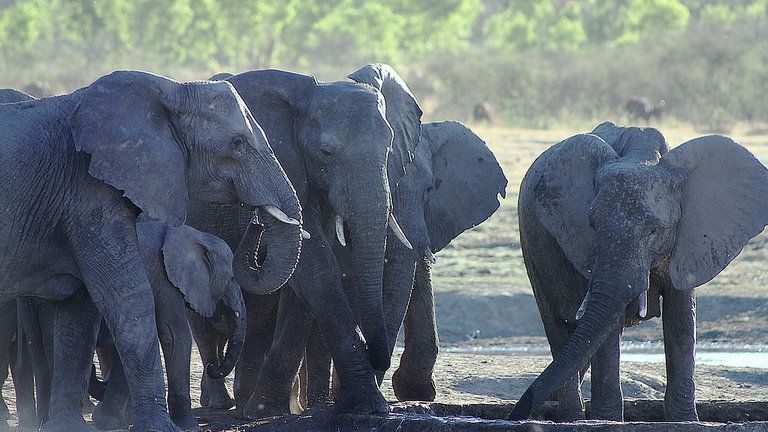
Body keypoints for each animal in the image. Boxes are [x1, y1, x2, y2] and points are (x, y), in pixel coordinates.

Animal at [0, 70, 302, 432]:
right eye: (237, 144)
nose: (256, 221)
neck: (170, 89)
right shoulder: (88, 194)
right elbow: (131, 301)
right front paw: (161, 427)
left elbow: (79, 314)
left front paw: (67, 427)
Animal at [186, 64, 422, 417]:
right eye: (326, 152)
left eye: (390, 149)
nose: (256, 223)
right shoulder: (284, 166)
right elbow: (316, 267)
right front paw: (370, 406)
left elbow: (306, 279)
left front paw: (267, 409)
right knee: (203, 317)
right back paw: (221, 402)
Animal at [509, 122, 768, 422]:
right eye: (592, 224)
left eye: (654, 230)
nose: (517, 411)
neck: (642, 155)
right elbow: (607, 327)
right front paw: (607, 420)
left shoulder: (689, 237)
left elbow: (681, 319)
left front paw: (685, 421)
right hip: (533, 249)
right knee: (559, 329)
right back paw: (572, 417)